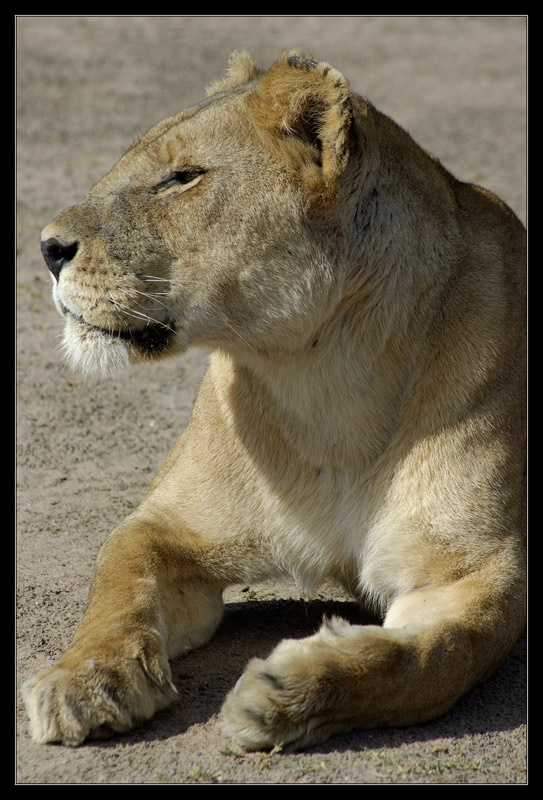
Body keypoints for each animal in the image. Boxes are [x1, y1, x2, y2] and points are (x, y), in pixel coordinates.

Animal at [23, 50, 526, 751]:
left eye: (181, 178)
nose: (47, 249)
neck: (324, 383)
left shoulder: (477, 569)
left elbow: (433, 656)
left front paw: (289, 693)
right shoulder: (165, 525)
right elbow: (116, 585)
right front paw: (85, 681)